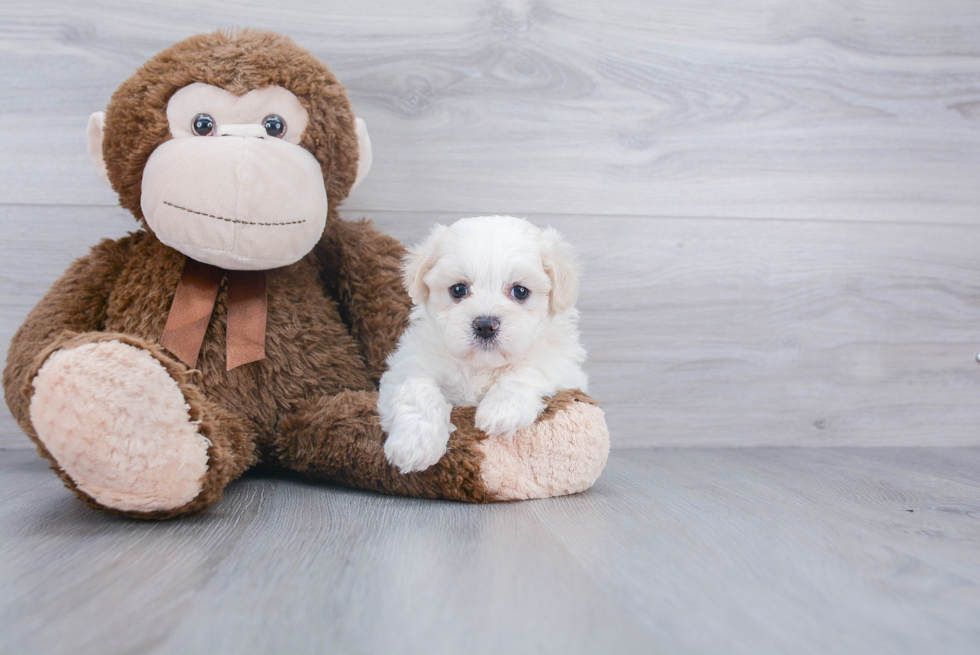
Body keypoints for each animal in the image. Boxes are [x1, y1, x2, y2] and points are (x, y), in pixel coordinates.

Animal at [378, 218, 584, 474]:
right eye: (458, 289)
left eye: (520, 291)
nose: (485, 325)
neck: (481, 365)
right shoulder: (407, 364)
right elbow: (418, 389)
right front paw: (415, 442)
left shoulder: (564, 367)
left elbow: (527, 370)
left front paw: (502, 409)